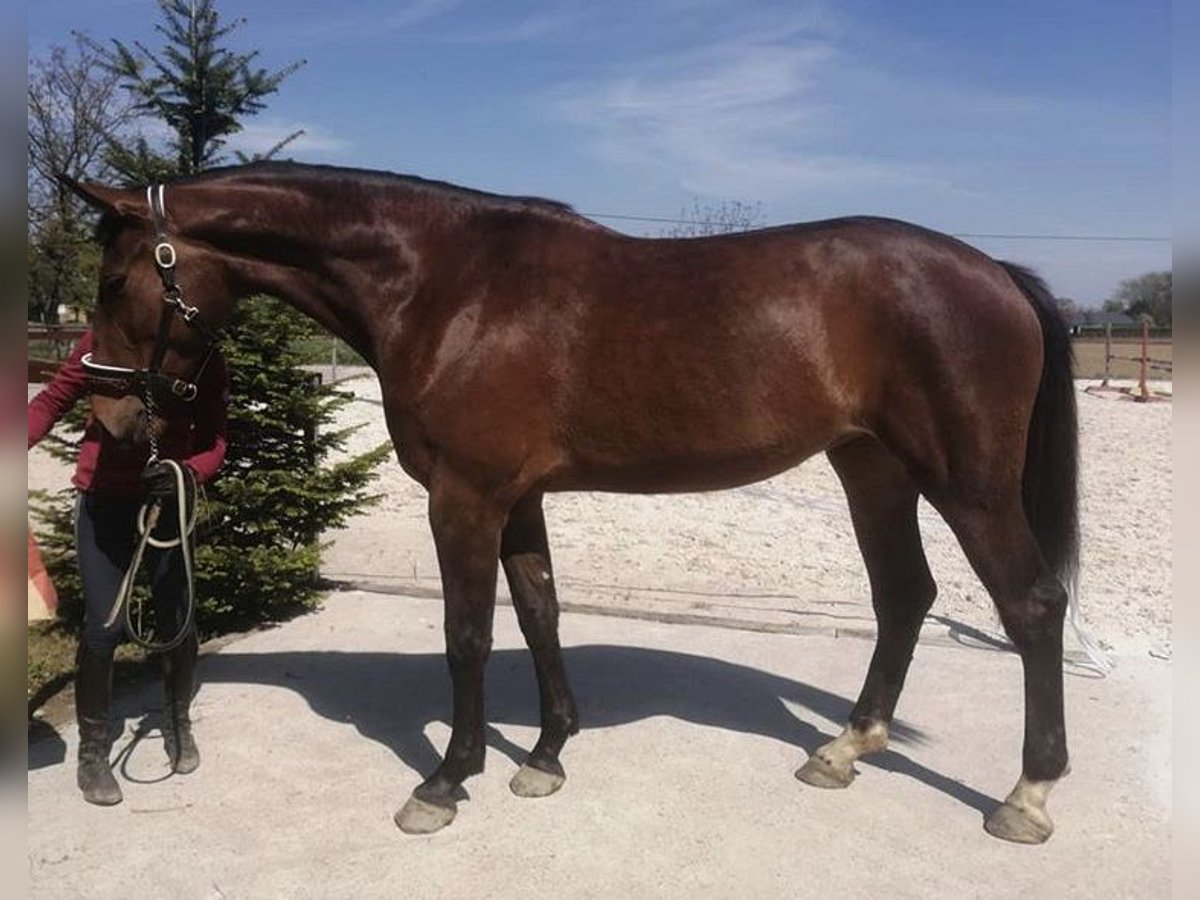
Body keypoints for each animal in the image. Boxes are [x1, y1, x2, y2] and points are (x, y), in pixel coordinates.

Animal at [63, 162, 1080, 844]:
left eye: (114, 281)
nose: (109, 414)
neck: (444, 286)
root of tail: (996, 273)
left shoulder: (465, 498)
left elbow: (469, 635)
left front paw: (447, 779)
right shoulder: (516, 499)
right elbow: (539, 612)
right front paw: (547, 756)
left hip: (966, 481)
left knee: (1031, 606)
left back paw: (1026, 796)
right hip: (871, 468)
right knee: (904, 596)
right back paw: (843, 749)